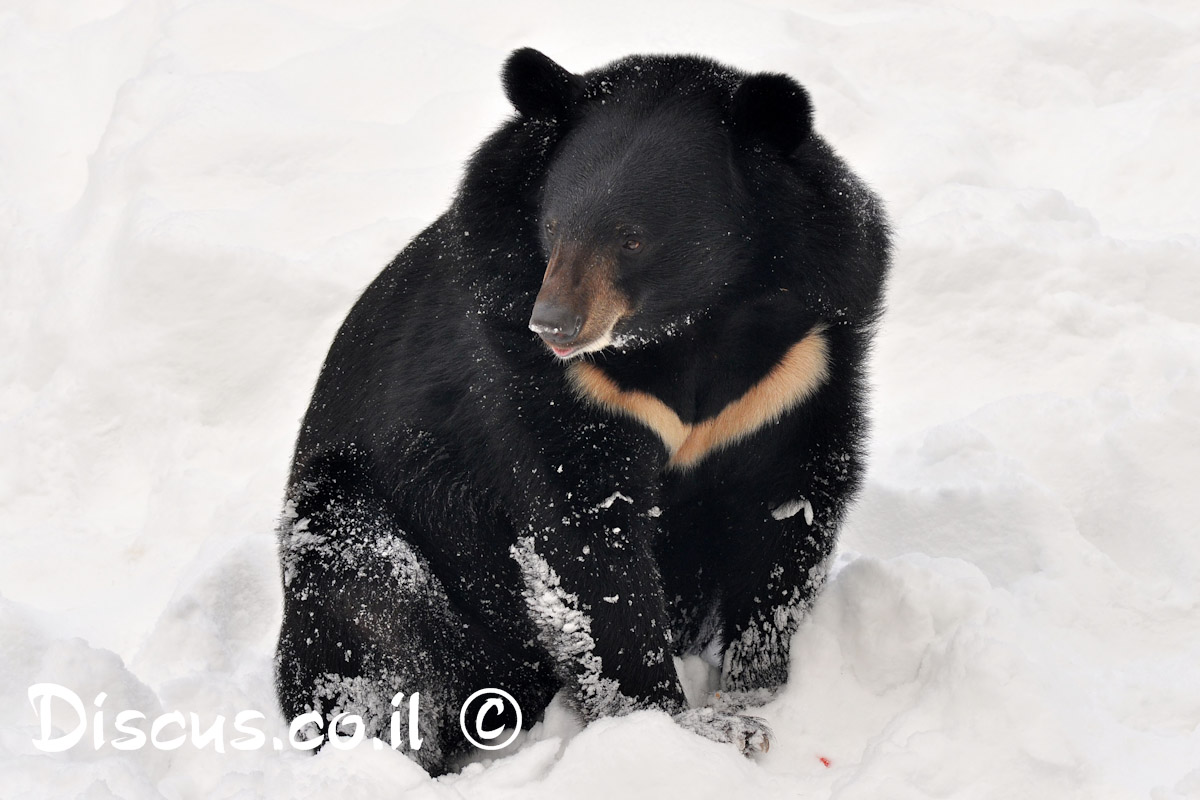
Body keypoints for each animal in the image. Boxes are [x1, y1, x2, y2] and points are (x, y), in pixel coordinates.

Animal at [274, 47, 892, 772]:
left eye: (632, 238)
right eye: (554, 226)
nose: (555, 324)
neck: (688, 328)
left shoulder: (799, 365)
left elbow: (788, 509)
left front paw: (754, 692)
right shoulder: (555, 384)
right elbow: (588, 543)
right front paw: (687, 726)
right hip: (356, 523)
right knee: (374, 624)